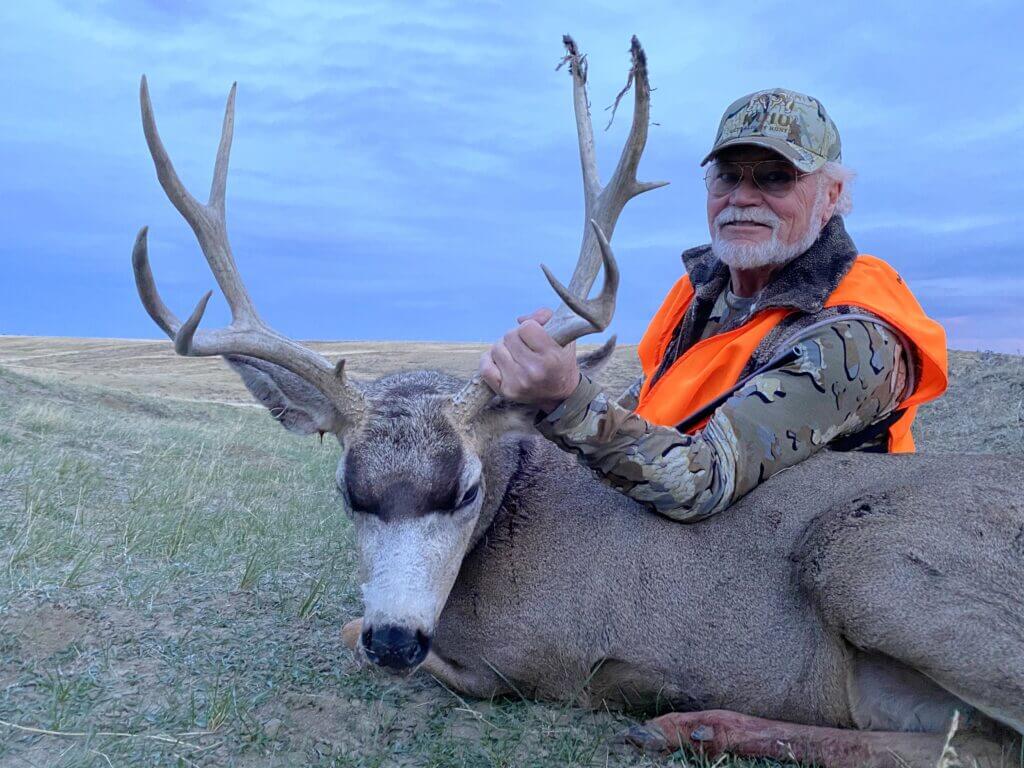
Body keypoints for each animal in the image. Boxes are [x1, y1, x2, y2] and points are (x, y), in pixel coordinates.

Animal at [131, 37, 1024, 768]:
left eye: (465, 490)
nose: (395, 640)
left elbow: (363, 635)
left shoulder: (530, 660)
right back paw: (697, 725)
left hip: (870, 561)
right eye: (348, 492)